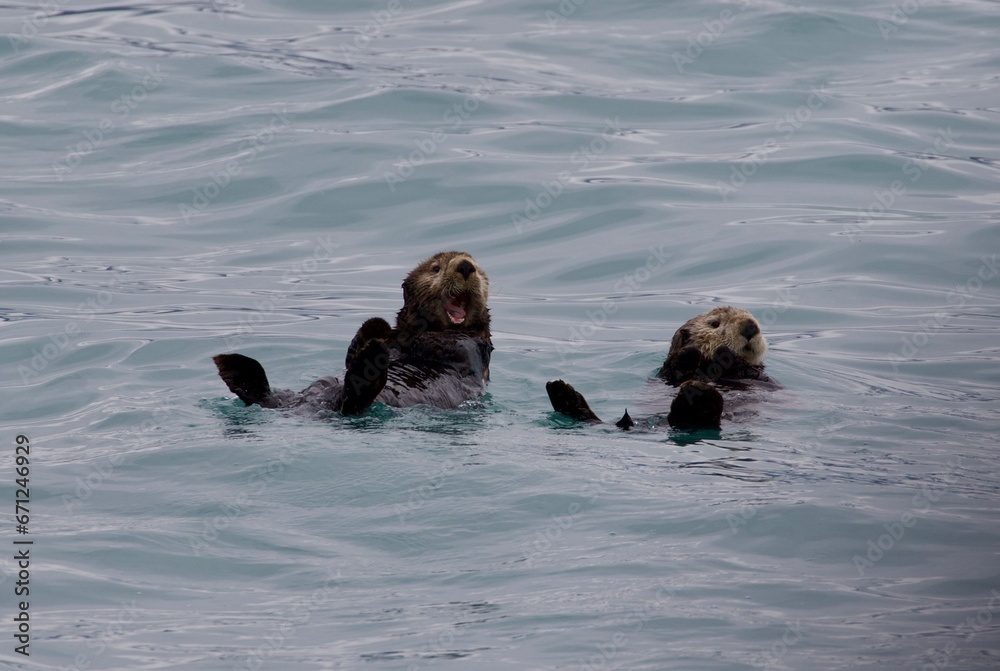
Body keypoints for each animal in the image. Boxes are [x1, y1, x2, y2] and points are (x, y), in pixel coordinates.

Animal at [213, 251, 492, 415]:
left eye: (478, 270)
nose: (466, 266)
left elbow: (446, 344)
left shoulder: (470, 346)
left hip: (360, 400)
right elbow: (353, 351)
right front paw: (377, 327)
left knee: (354, 400)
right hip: (304, 390)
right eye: (436, 268)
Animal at [547, 306, 777, 430]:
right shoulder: (666, 375)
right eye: (714, 323)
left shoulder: (758, 376)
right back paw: (562, 393)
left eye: (754, 319)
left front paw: (724, 354)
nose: (751, 326)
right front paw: (691, 353)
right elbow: (675, 367)